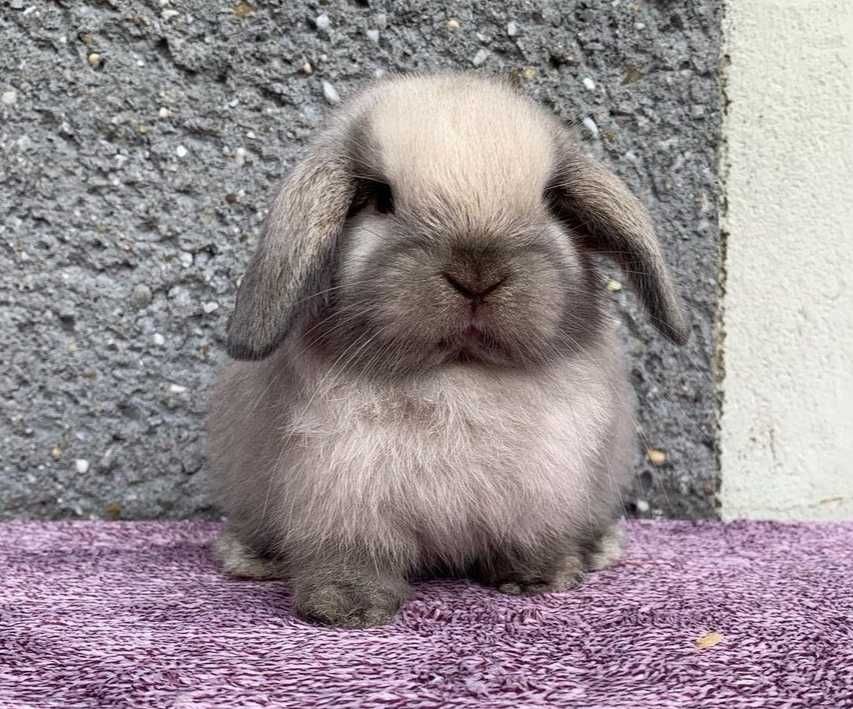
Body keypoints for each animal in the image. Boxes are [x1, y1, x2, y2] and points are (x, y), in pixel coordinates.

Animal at [206, 73, 684, 624]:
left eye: (550, 201)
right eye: (379, 198)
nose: (477, 273)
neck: (458, 372)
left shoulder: (546, 485)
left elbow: (531, 542)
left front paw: (540, 579)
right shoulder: (340, 492)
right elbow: (349, 555)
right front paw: (346, 607)